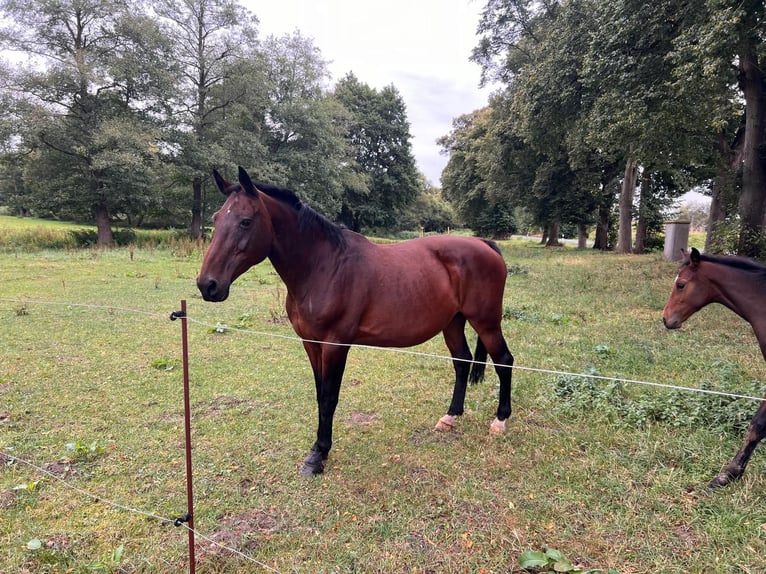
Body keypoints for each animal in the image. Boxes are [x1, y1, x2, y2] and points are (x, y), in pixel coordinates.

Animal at [196, 166, 516, 476]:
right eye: (216, 218)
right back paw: (450, 417)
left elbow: (329, 397)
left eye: (245, 221)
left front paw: (318, 456)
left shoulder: (335, 345)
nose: (207, 285)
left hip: (486, 322)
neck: (324, 266)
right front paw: (318, 449)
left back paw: (500, 421)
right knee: (462, 362)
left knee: (504, 361)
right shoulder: (311, 343)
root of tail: (485, 244)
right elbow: (319, 393)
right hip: (452, 322)